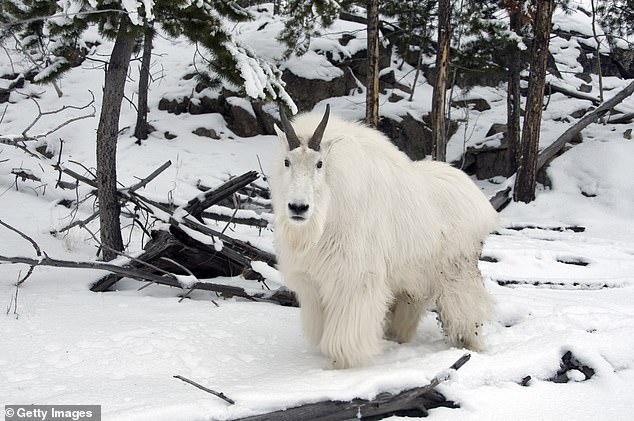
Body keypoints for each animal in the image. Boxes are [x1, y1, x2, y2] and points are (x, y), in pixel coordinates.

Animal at [270, 105, 496, 368]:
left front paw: (343, 363)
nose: (298, 207)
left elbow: (343, 336)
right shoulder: (314, 283)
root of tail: (481, 202)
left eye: (319, 164)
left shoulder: (355, 278)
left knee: (469, 310)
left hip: (458, 271)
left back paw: (469, 345)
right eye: (287, 161)